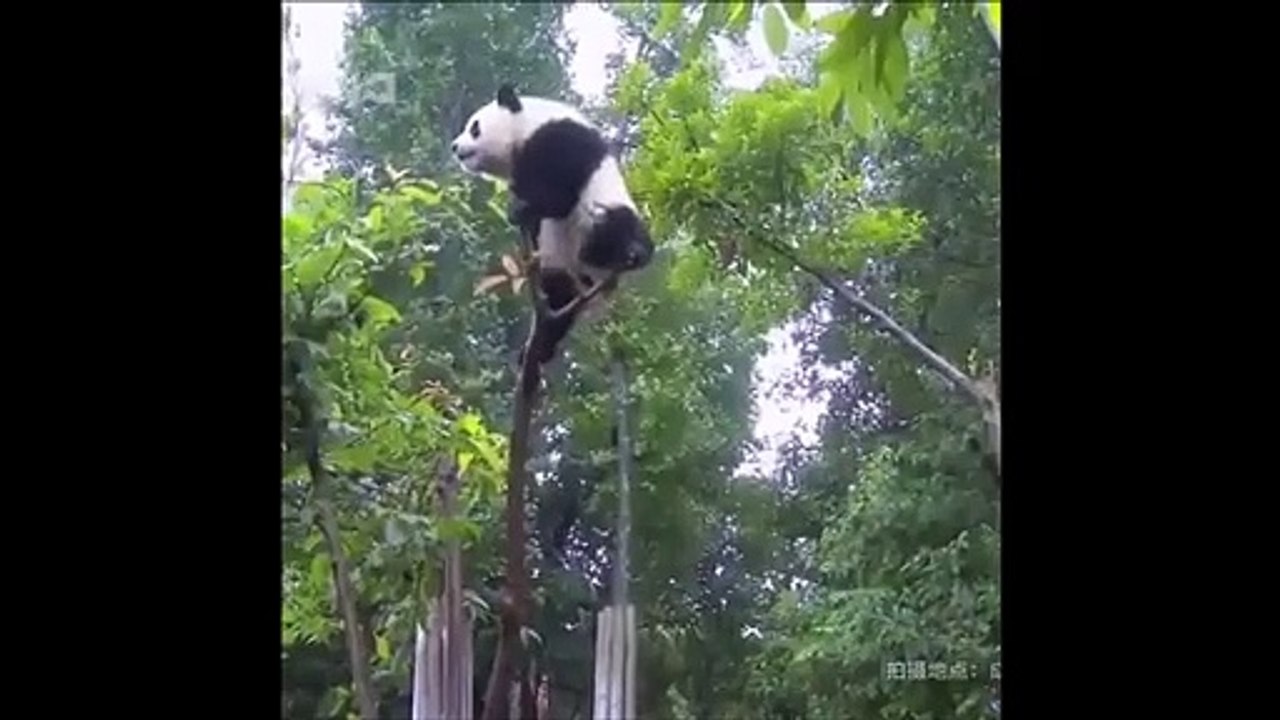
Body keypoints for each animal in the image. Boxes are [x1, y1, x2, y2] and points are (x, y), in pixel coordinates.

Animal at [450, 83, 654, 366]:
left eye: (475, 127)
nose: (455, 146)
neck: (527, 124)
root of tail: (595, 280)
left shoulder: (560, 139)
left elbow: (560, 197)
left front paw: (520, 210)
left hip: (609, 212)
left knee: (617, 227)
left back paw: (629, 252)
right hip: (563, 267)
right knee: (558, 294)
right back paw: (541, 346)